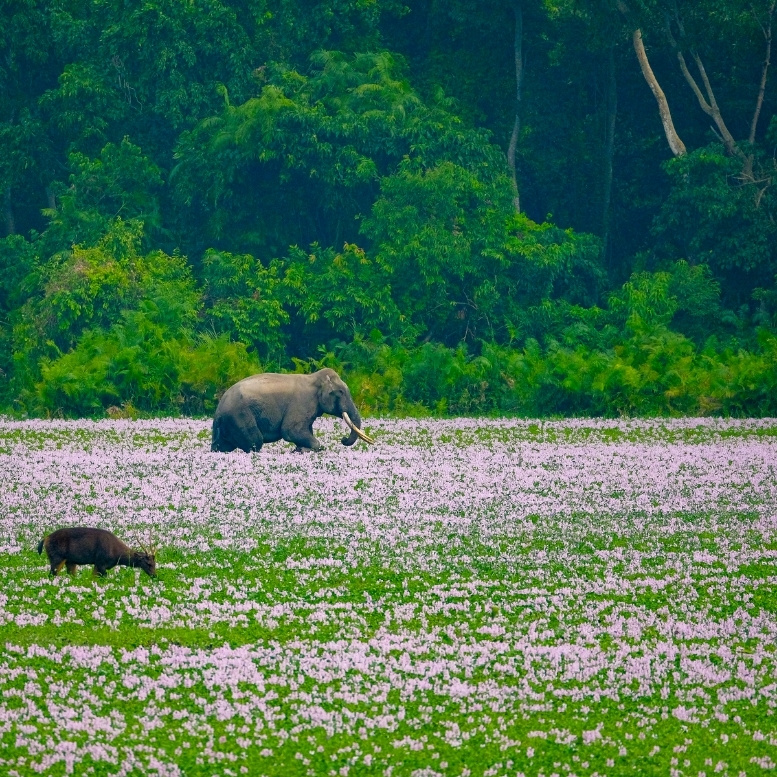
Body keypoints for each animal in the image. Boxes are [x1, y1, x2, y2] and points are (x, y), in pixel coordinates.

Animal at [211, 368, 374, 453]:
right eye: (340, 392)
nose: (343, 439)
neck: (314, 378)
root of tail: (219, 409)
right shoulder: (301, 403)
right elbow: (290, 431)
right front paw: (310, 449)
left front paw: (299, 450)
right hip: (240, 417)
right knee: (255, 442)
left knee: (221, 446)